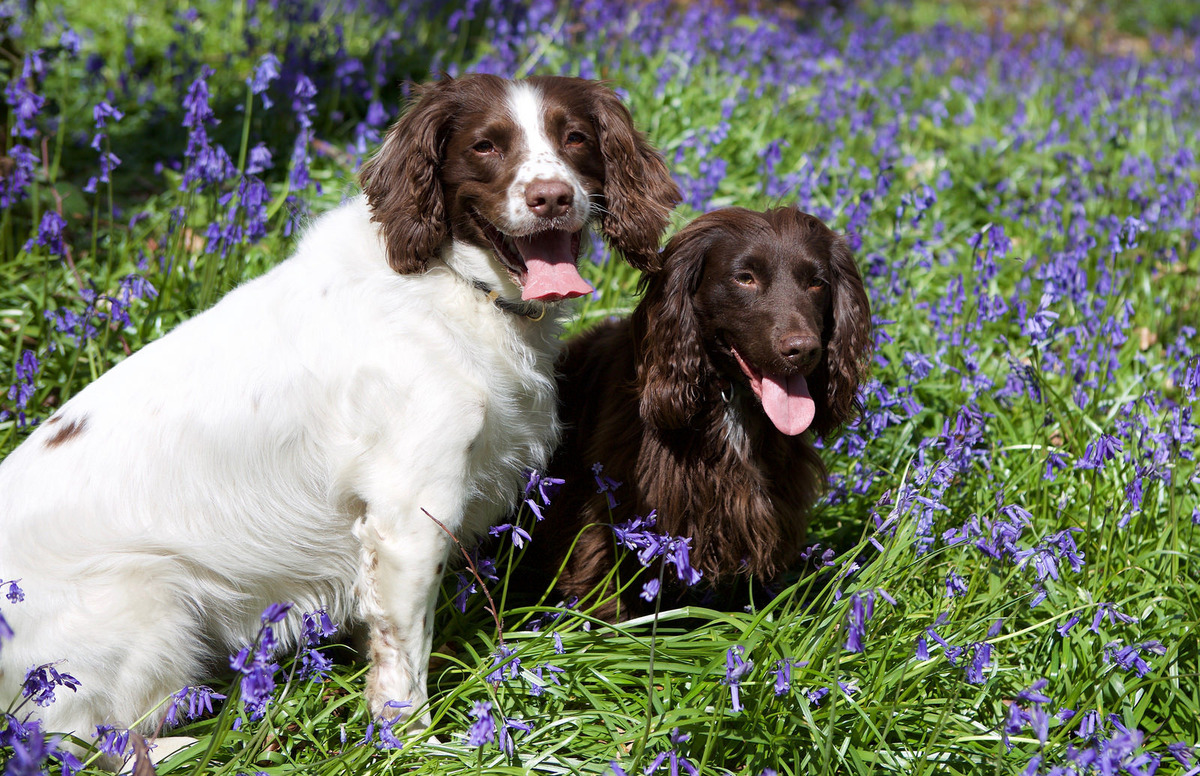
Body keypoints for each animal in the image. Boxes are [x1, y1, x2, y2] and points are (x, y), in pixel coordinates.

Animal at [0, 74, 681, 758]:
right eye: (486, 146)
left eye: (576, 137)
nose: (552, 197)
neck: (449, 282)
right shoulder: (413, 513)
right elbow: (405, 652)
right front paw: (412, 741)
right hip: (153, 603)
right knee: (95, 745)